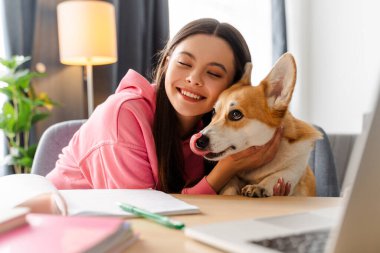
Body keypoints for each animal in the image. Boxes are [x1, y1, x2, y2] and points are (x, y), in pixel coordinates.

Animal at [190, 52, 320, 197]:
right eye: (213, 112)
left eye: (236, 114)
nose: (199, 141)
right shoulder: (233, 177)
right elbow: (230, 184)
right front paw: (229, 192)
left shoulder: (296, 167)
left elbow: (278, 175)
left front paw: (259, 186)